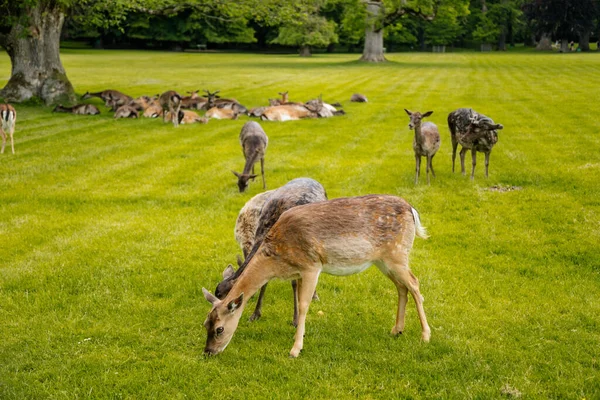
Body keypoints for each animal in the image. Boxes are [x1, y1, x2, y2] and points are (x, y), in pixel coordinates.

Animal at [202, 194, 432, 356]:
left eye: (219, 329)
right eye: (205, 324)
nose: (208, 352)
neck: (278, 260)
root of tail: (412, 210)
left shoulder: (311, 265)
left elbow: (304, 305)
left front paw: (295, 348)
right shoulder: (299, 272)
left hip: (397, 254)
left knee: (415, 284)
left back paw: (425, 335)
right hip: (384, 261)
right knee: (402, 287)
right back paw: (397, 329)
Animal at [218, 178, 328, 324]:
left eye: (224, 296)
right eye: (217, 293)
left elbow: (293, 283)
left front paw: (295, 319)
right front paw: (255, 314)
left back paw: (314, 295)